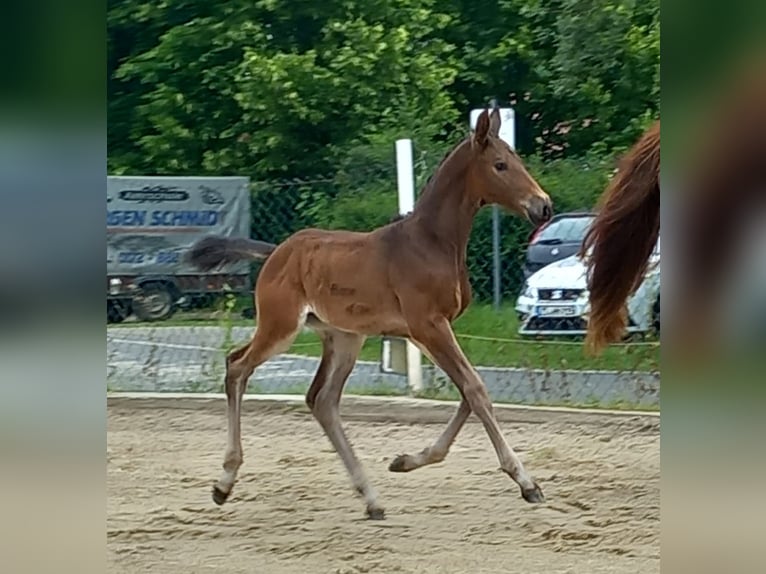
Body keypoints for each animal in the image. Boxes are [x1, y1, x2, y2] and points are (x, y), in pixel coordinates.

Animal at [189, 107, 556, 516]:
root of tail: (275, 254)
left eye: (517, 160)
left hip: (344, 336)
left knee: (322, 400)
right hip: (281, 325)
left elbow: (468, 390)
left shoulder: (429, 330)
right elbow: (475, 389)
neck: (432, 243)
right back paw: (224, 482)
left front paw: (406, 461)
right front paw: (526, 482)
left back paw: (370, 497)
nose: (543, 206)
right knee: (237, 366)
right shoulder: (428, 326)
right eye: (500, 165)